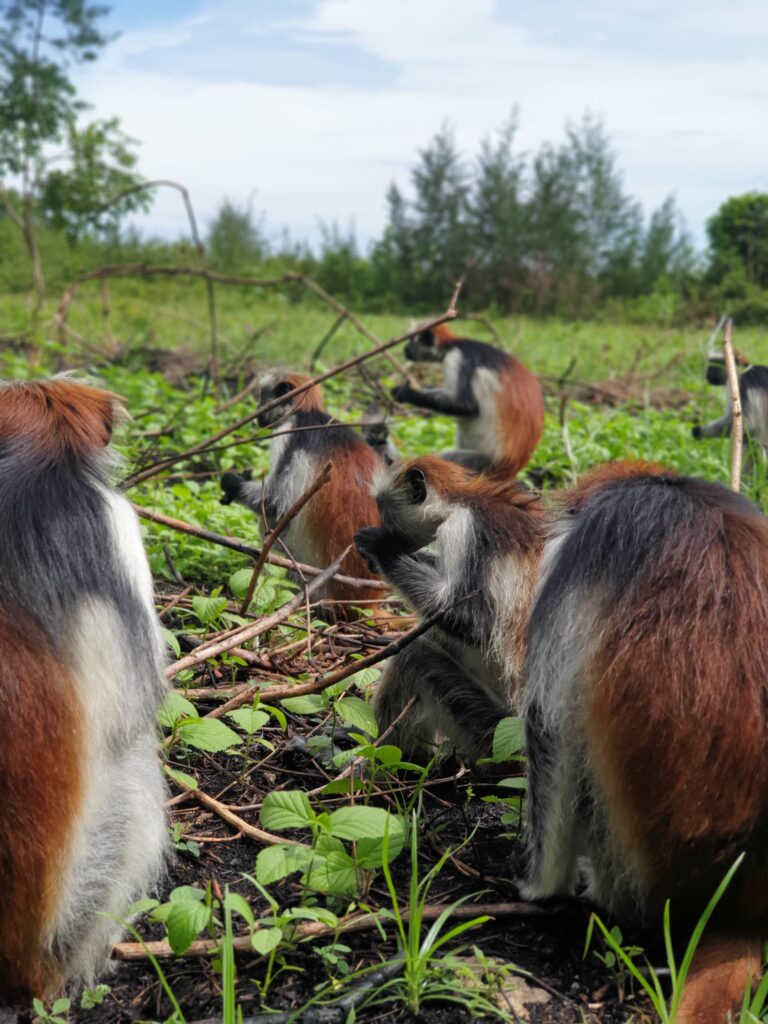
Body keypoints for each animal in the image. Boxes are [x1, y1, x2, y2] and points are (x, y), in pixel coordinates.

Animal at [220, 371, 386, 619]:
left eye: (262, 398)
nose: (257, 414)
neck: (309, 414)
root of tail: (363, 604)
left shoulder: (288, 433)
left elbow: (274, 504)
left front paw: (232, 484)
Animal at [354, 455, 545, 759]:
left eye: (383, 510)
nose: (381, 525)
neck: (463, 501)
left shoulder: (463, 528)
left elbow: (473, 622)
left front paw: (380, 548)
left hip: (491, 730)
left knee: (415, 655)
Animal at [391, 323, 544, 474]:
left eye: (411, 341)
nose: (405, 349)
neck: (451, 344)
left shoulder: (457, 357)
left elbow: (466, 406)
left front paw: (406, 393)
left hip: (485, 461)